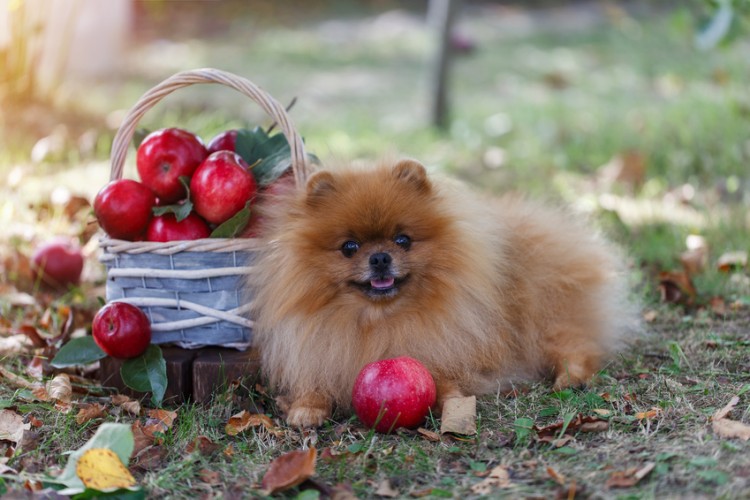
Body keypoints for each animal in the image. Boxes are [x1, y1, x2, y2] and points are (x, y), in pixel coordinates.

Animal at [250, 158, 636, 428]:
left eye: (403, 240)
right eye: (349, 247)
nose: (380, 257)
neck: (380, 321)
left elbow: (448, 380)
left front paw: (450, 402)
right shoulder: (316, 350)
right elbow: (313, 383)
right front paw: (306, 408)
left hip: (546, 316)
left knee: (577, 346)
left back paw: (571, 378)